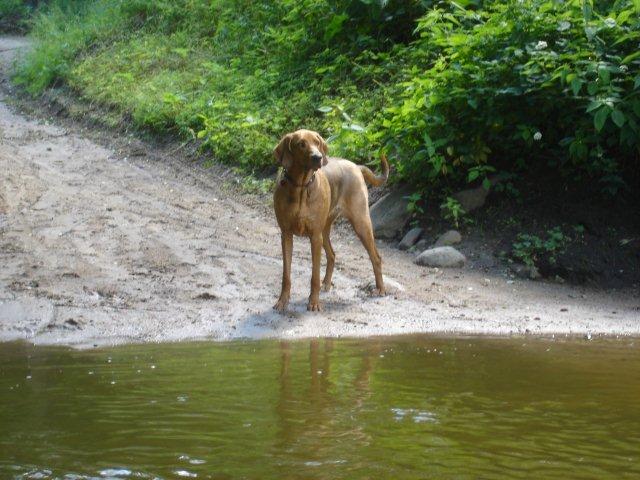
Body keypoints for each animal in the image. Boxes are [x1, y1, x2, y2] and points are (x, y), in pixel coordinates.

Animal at [272, 129, 388, 314]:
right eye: (301, 144)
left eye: (317, 142)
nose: (318, 157)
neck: (301, 187)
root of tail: (356, 166)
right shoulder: (286, 235)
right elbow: (286, 274)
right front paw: (282, 301)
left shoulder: (314, 237)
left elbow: (314, 275)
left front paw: (314, 303)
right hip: (325, 229)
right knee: (332, 254)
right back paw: (326, 284)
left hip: (360, 223)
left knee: (376, 257)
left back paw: (381, 288)